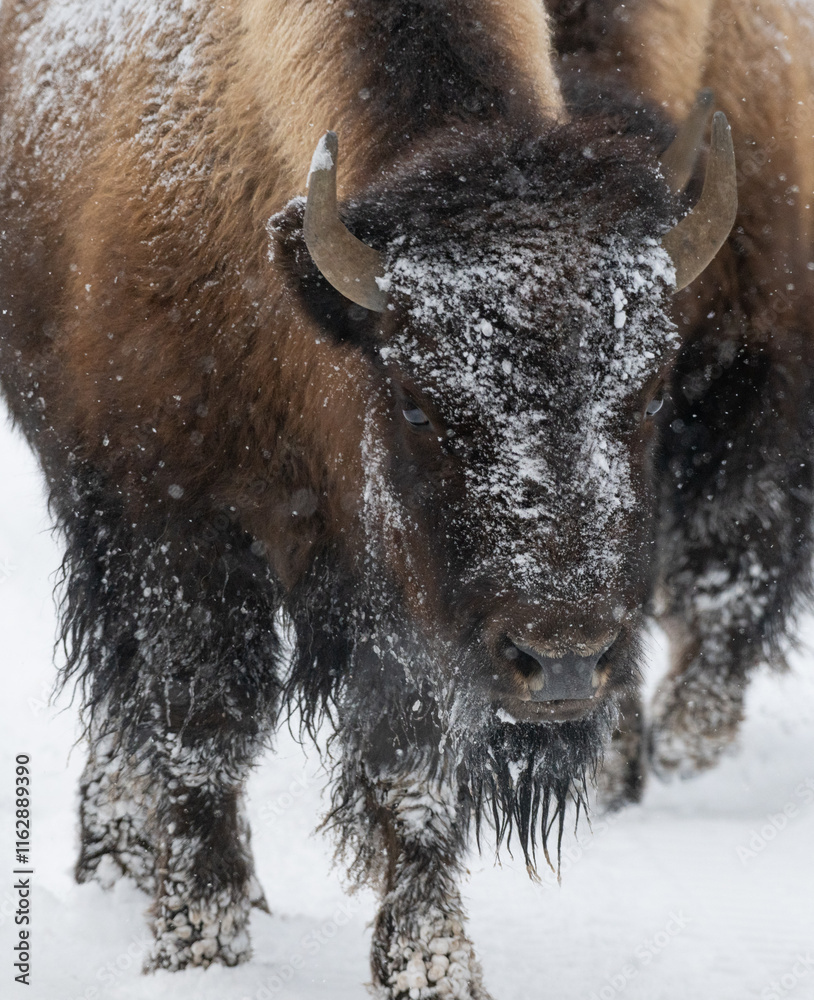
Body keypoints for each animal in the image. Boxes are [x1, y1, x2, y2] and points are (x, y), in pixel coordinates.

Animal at [1, 0, 808, 996]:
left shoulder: (412, 607)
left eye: (651, 388)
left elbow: (412, 772)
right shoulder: (177, 528)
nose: (565, 660)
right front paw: (199, 947)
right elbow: (201, 735)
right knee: (121, 700)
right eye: (419, 401)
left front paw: (435, 969)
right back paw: (120, 870)